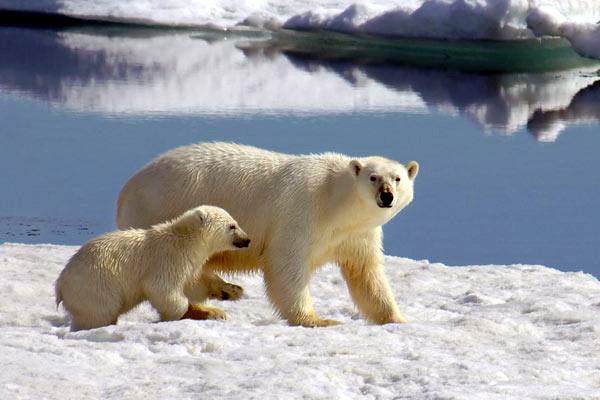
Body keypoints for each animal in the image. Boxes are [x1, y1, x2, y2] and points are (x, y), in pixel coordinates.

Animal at [56, 205, 251, 330]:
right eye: (232, 225)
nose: (247, 239)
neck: (185, 240)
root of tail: (60, 285)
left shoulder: (187, 263)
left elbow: (194, 283)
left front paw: (231, 291)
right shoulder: (167, 259)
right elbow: (161, 289)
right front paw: (192, 312)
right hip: (95, 287)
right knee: (98, 315)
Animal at [116, 144, 418, 328]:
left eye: (398, 178)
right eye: (373, 177)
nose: (386, 196)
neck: (335, 202)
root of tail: (127, 189)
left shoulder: (358, 234)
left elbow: (366, 274)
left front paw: (397, 319)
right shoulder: (302, 212)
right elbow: (286, 264)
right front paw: (318, 320)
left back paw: (226, 290)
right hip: (160, 210)